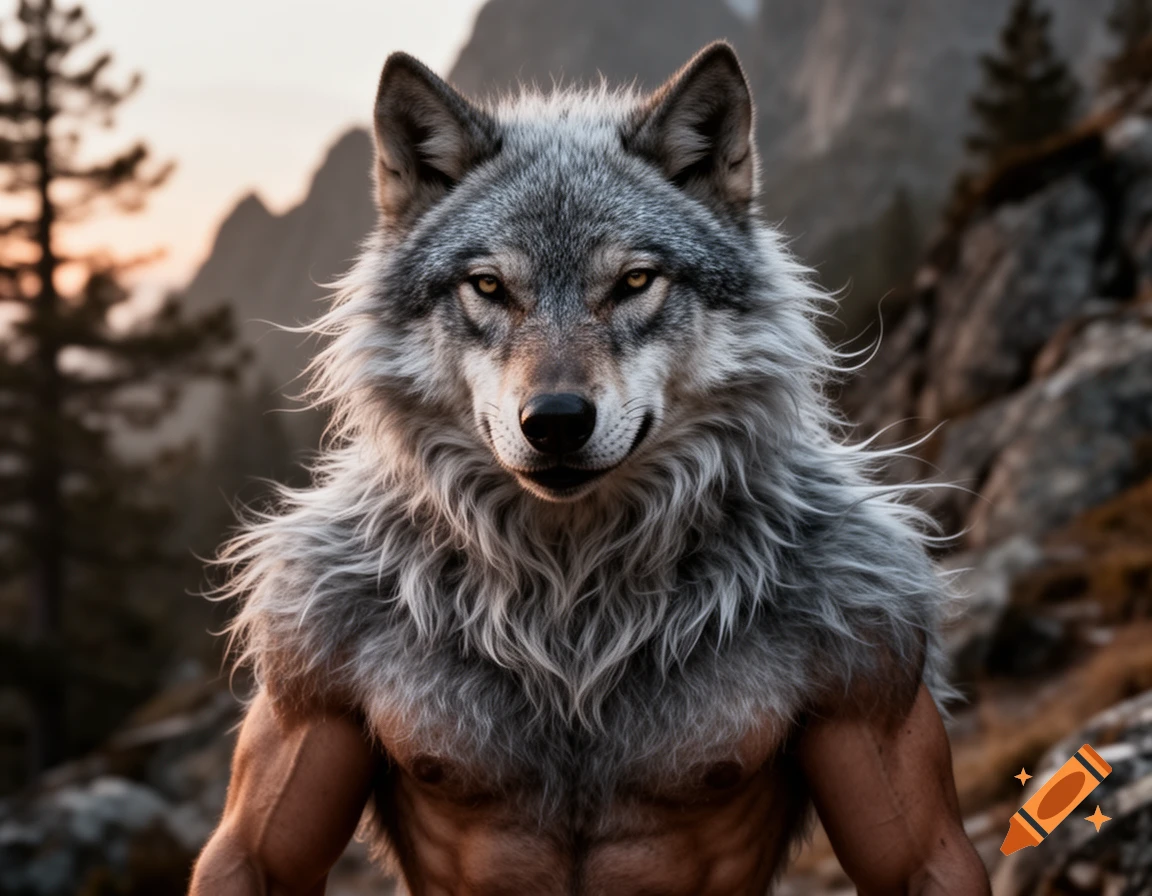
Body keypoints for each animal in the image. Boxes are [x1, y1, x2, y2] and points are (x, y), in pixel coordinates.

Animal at [191, 42, 990, 896]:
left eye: (634, 281)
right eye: (489, 286)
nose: (555, 422)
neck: (572, 593)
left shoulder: (872, 641)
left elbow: (913, 852)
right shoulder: (304, 654)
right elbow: (261, 851)